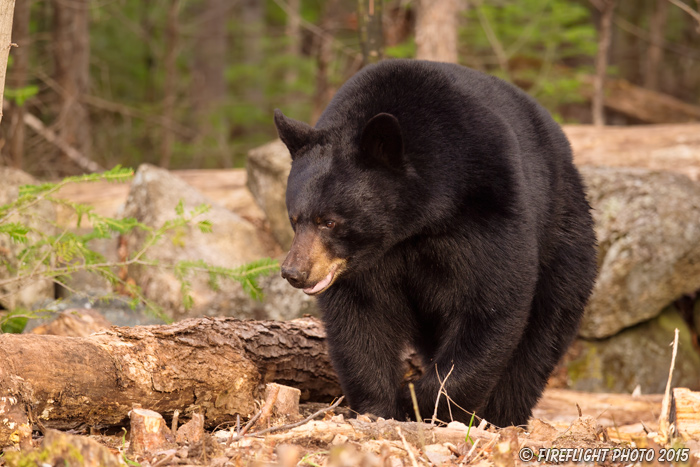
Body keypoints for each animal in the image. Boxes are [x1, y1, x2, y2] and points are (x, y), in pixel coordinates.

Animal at [274, 60, 596, 430]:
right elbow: (359, 318)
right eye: (295, 218)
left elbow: (490, 303)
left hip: (564, 232)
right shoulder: (366, 265)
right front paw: (377, 407)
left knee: (546, 327)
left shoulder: (486, 210)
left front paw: (422, 402)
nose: (294, 272)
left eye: (329, 221)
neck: (413, 225)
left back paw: (504, 416)